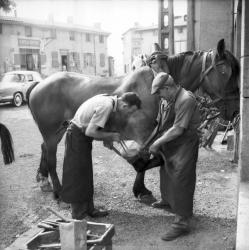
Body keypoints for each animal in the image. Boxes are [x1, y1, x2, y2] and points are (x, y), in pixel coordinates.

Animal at [27, 39, 239, 199]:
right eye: (225, 72)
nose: (235, 110)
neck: (155, 86)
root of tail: (39, 84)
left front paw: (140, 187)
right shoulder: (143, 131)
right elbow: (143, 158)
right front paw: (140, 189)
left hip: (58, 130)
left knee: (44, 148)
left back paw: (43, 179)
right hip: (51, 131)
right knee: (51, 156)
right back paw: (57, 190)